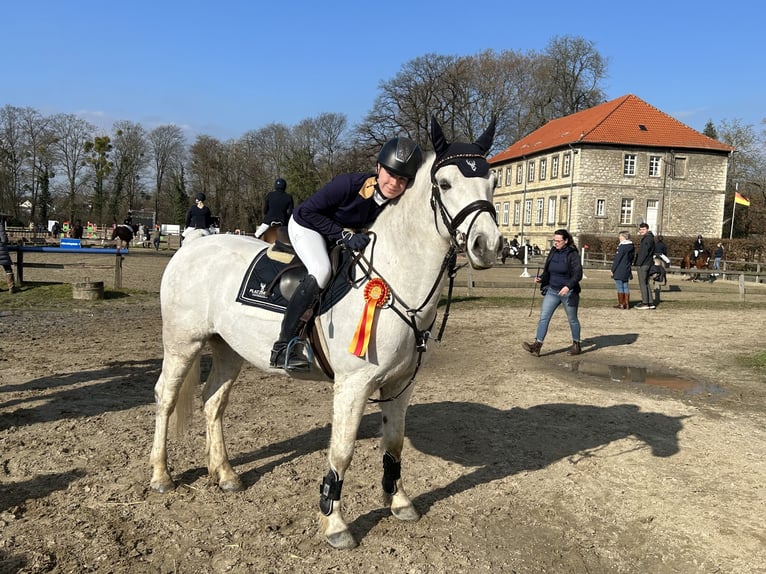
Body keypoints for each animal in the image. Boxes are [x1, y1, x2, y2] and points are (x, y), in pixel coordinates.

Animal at [152, 116, 504, 548]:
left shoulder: (400, 384)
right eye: (445, 183)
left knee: (213, 403)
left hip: (228, 349)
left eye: (493, 183)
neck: (394, 277)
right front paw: (335, 523)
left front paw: (399, 502)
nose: (488, 246)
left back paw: (226, 475)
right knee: (166, 398)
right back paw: (161, 475)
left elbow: (394, 443)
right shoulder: (353, 385)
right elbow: (342, 452)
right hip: (182, 345)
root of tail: (192, 248)